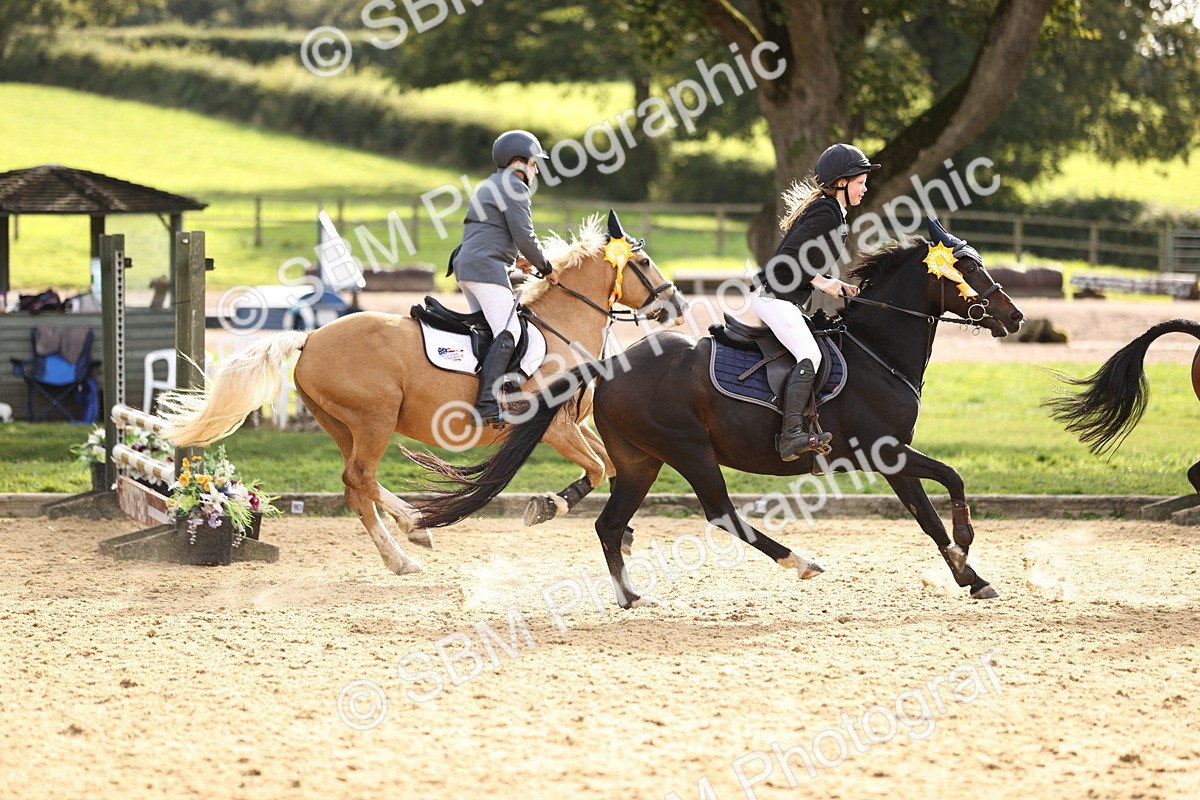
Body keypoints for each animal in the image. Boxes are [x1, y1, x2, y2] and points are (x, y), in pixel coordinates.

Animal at [157, 211, 688, 575]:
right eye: (643, 262)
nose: (678, 306)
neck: (563, 327)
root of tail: (311, 337)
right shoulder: (555, 427)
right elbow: (597, 469)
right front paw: (546, 508)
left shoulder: (572, 426)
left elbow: (614, 467)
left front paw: (624, 532)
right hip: (375, 419)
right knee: (361, 478)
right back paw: (415, 526)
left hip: (342, 425)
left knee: (355, 488)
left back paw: (401, 557)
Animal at [410, 222, 1026, 606]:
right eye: (968, 268)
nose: (1015, 316)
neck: (877, 350)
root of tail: (609, 366)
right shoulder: (888, 453)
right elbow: (945, 489)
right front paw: (968, 557)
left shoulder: (894, 457)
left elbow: (935, 503)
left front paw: (967, 568)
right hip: (689, 451)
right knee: (721, 513)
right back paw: (799, 562)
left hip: (642, 461)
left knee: (610, 524)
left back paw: (630, 595)